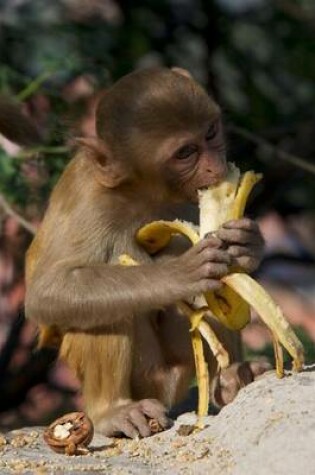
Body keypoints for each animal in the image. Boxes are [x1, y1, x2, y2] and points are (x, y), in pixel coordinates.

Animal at [25, 69, 266, 440]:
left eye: (211, 132)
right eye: (185, 152)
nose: (216, 167)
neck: (145, 191)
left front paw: (247, 243)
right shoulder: (88, 197)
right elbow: (47, 291)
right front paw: (180, 274)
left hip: (180, 369)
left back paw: (232, 380)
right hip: (146, 379)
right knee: (100, 309)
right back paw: (112, 411)